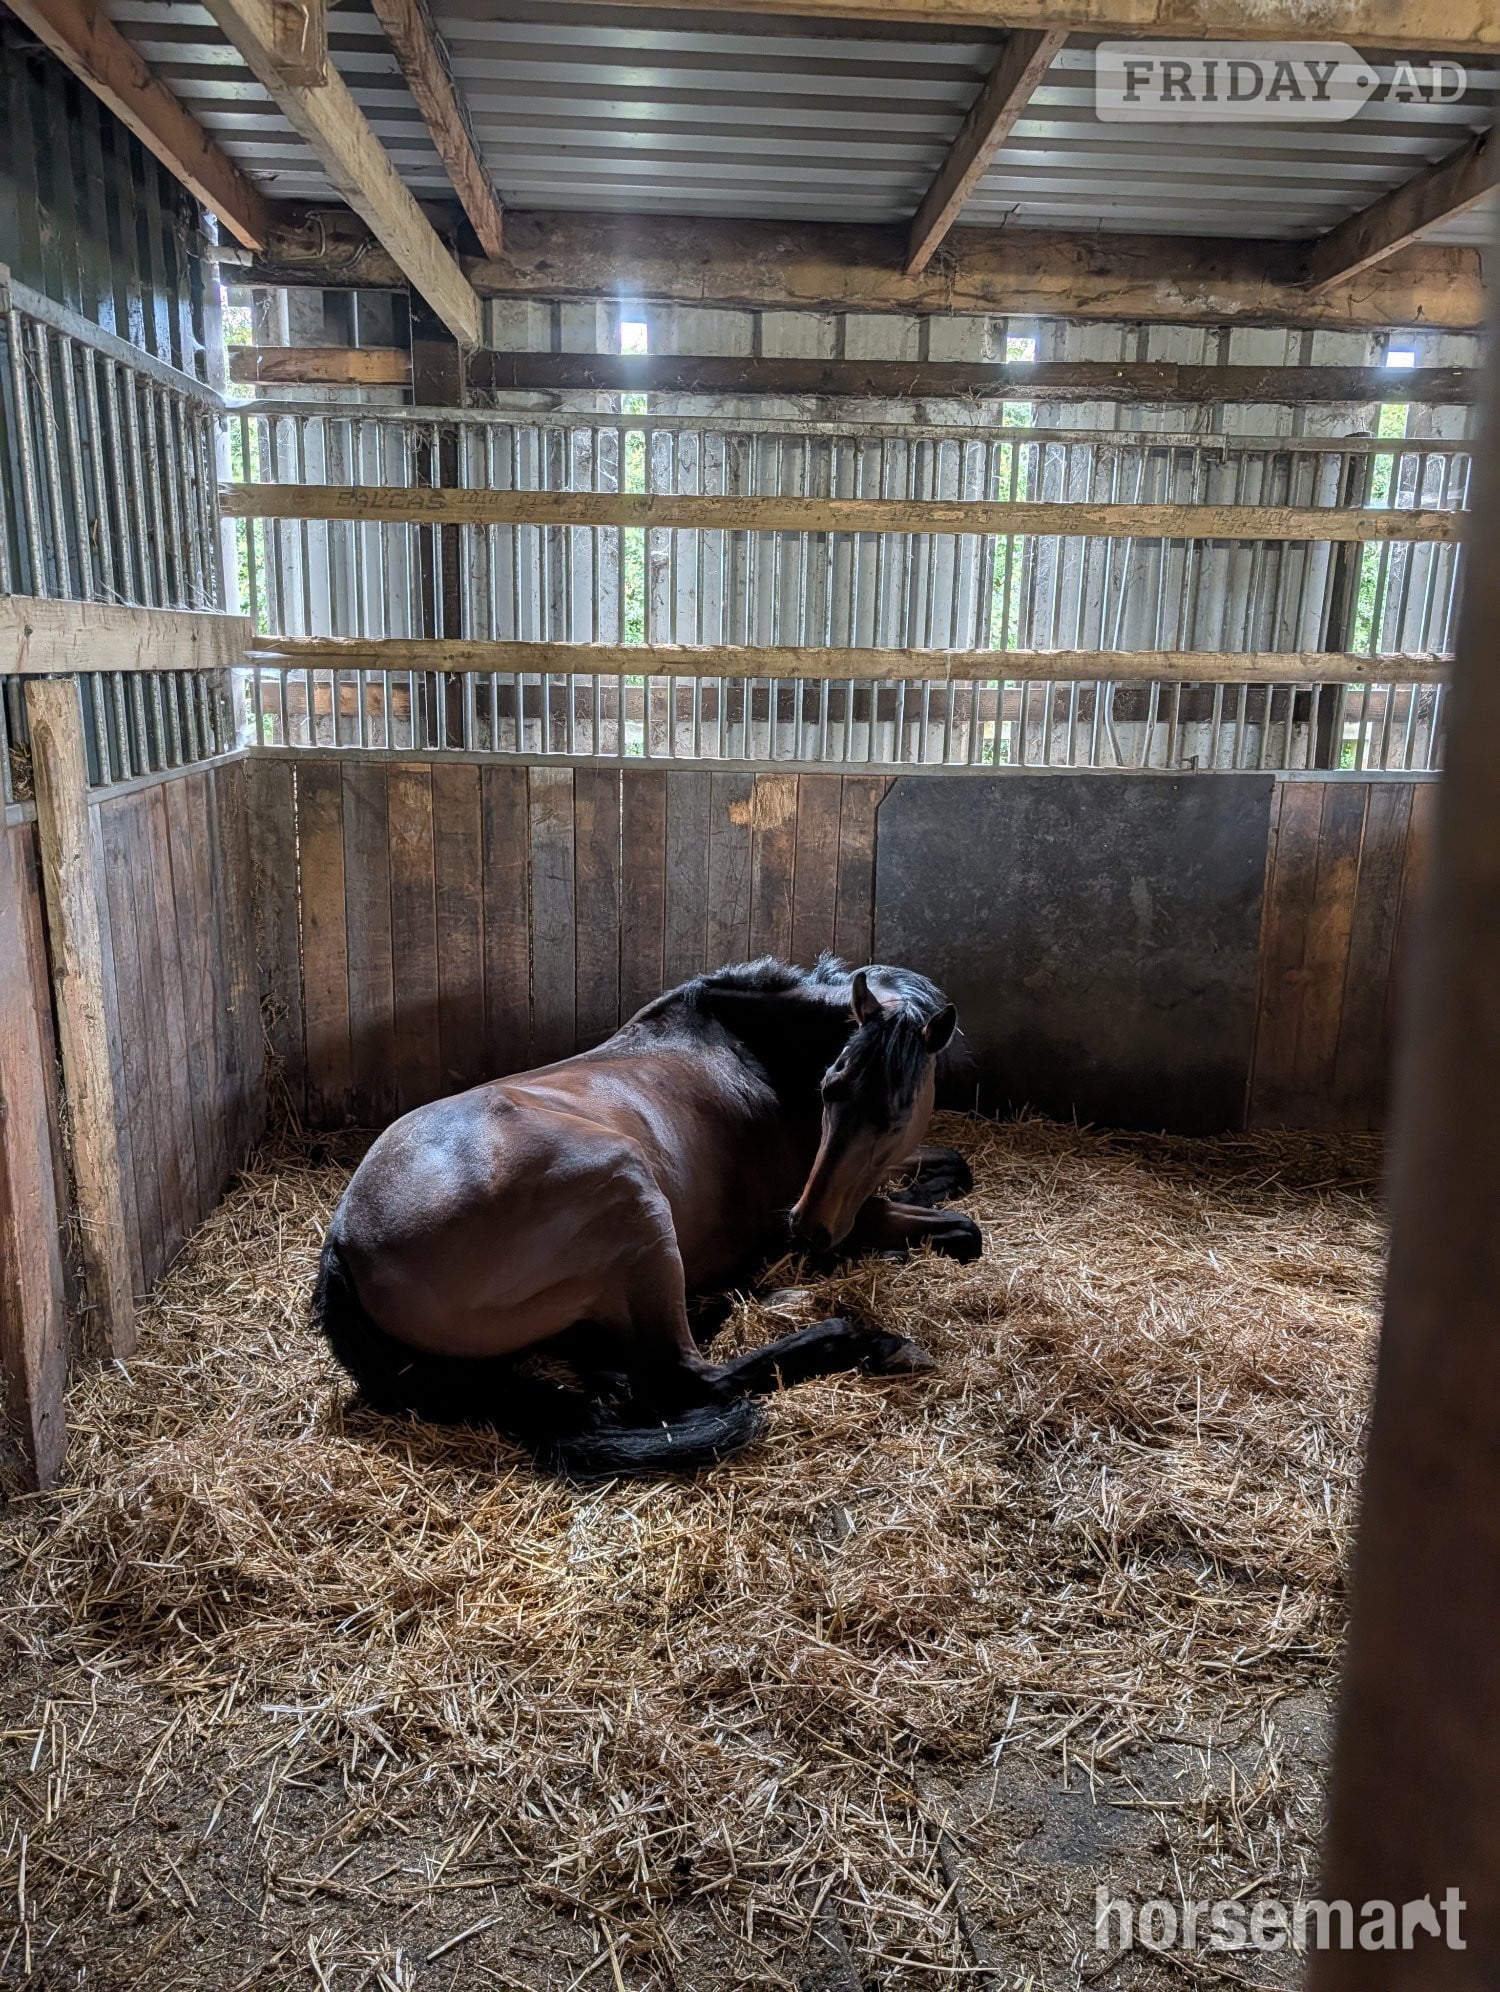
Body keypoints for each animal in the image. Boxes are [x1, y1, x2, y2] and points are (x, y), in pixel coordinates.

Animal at [312, 956, 982, 1477]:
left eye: (897, 1113)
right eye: (829, 1087)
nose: (807, 1228)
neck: (755, 1050)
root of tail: (345, 1241)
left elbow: (954, 1167)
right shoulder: (844, 1214)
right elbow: (963, 1231)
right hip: (633, 1197)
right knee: (680, 1378)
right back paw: (861, 1338)